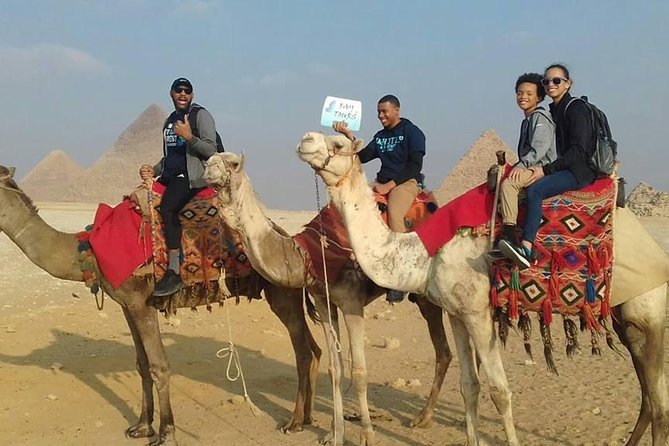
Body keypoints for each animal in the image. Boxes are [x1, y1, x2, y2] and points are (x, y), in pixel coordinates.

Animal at [0, 165, 322, 446]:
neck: (90, 250)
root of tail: (291, 240)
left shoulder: (141, 303)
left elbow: (159, 366)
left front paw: (166, 432)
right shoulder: (127, 305)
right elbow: (142, 365)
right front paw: (142, 426)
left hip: (281, 293)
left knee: (303, 352)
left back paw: (293, 422)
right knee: (314, 348)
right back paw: (306, 418)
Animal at [203, 152, 453, 446]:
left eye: (232, 163)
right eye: (212, 160)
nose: (208, 166)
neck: (307, 253)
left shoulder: (352, 303)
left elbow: (359, 371)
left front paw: (366, 435)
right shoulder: (324, 302)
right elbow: (336, 368)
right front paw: (334, 434)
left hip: (428, 293)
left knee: (446, 349)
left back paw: (423, 417)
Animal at [296, 132, 669, 446]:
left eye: (338, 144)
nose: (305, 139)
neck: (425, 253)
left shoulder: (479, 314)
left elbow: (500, 391)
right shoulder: (457, 315)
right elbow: (469, 385)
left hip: (650, 312)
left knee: (659, 402)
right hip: (625, 320)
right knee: (648, 397)